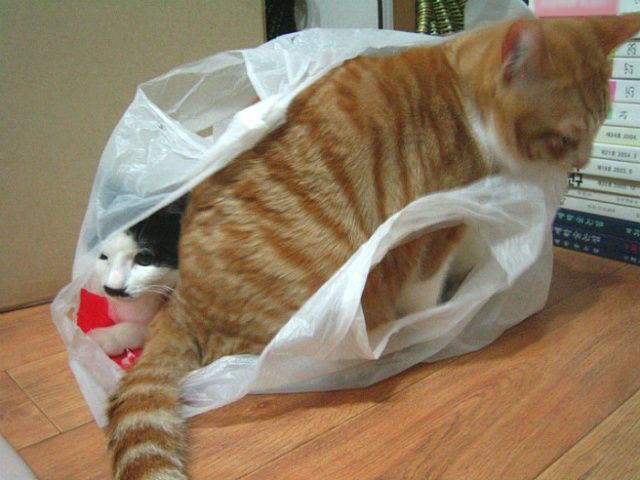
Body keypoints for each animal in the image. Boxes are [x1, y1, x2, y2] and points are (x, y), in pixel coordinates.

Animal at [105, 15, 640, 480]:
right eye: (566, 136)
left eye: (601, 126)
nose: (582, 164)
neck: (465, 97)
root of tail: (182, 304)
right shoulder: (435, 225)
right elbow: (425, 290)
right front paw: (428, 322)